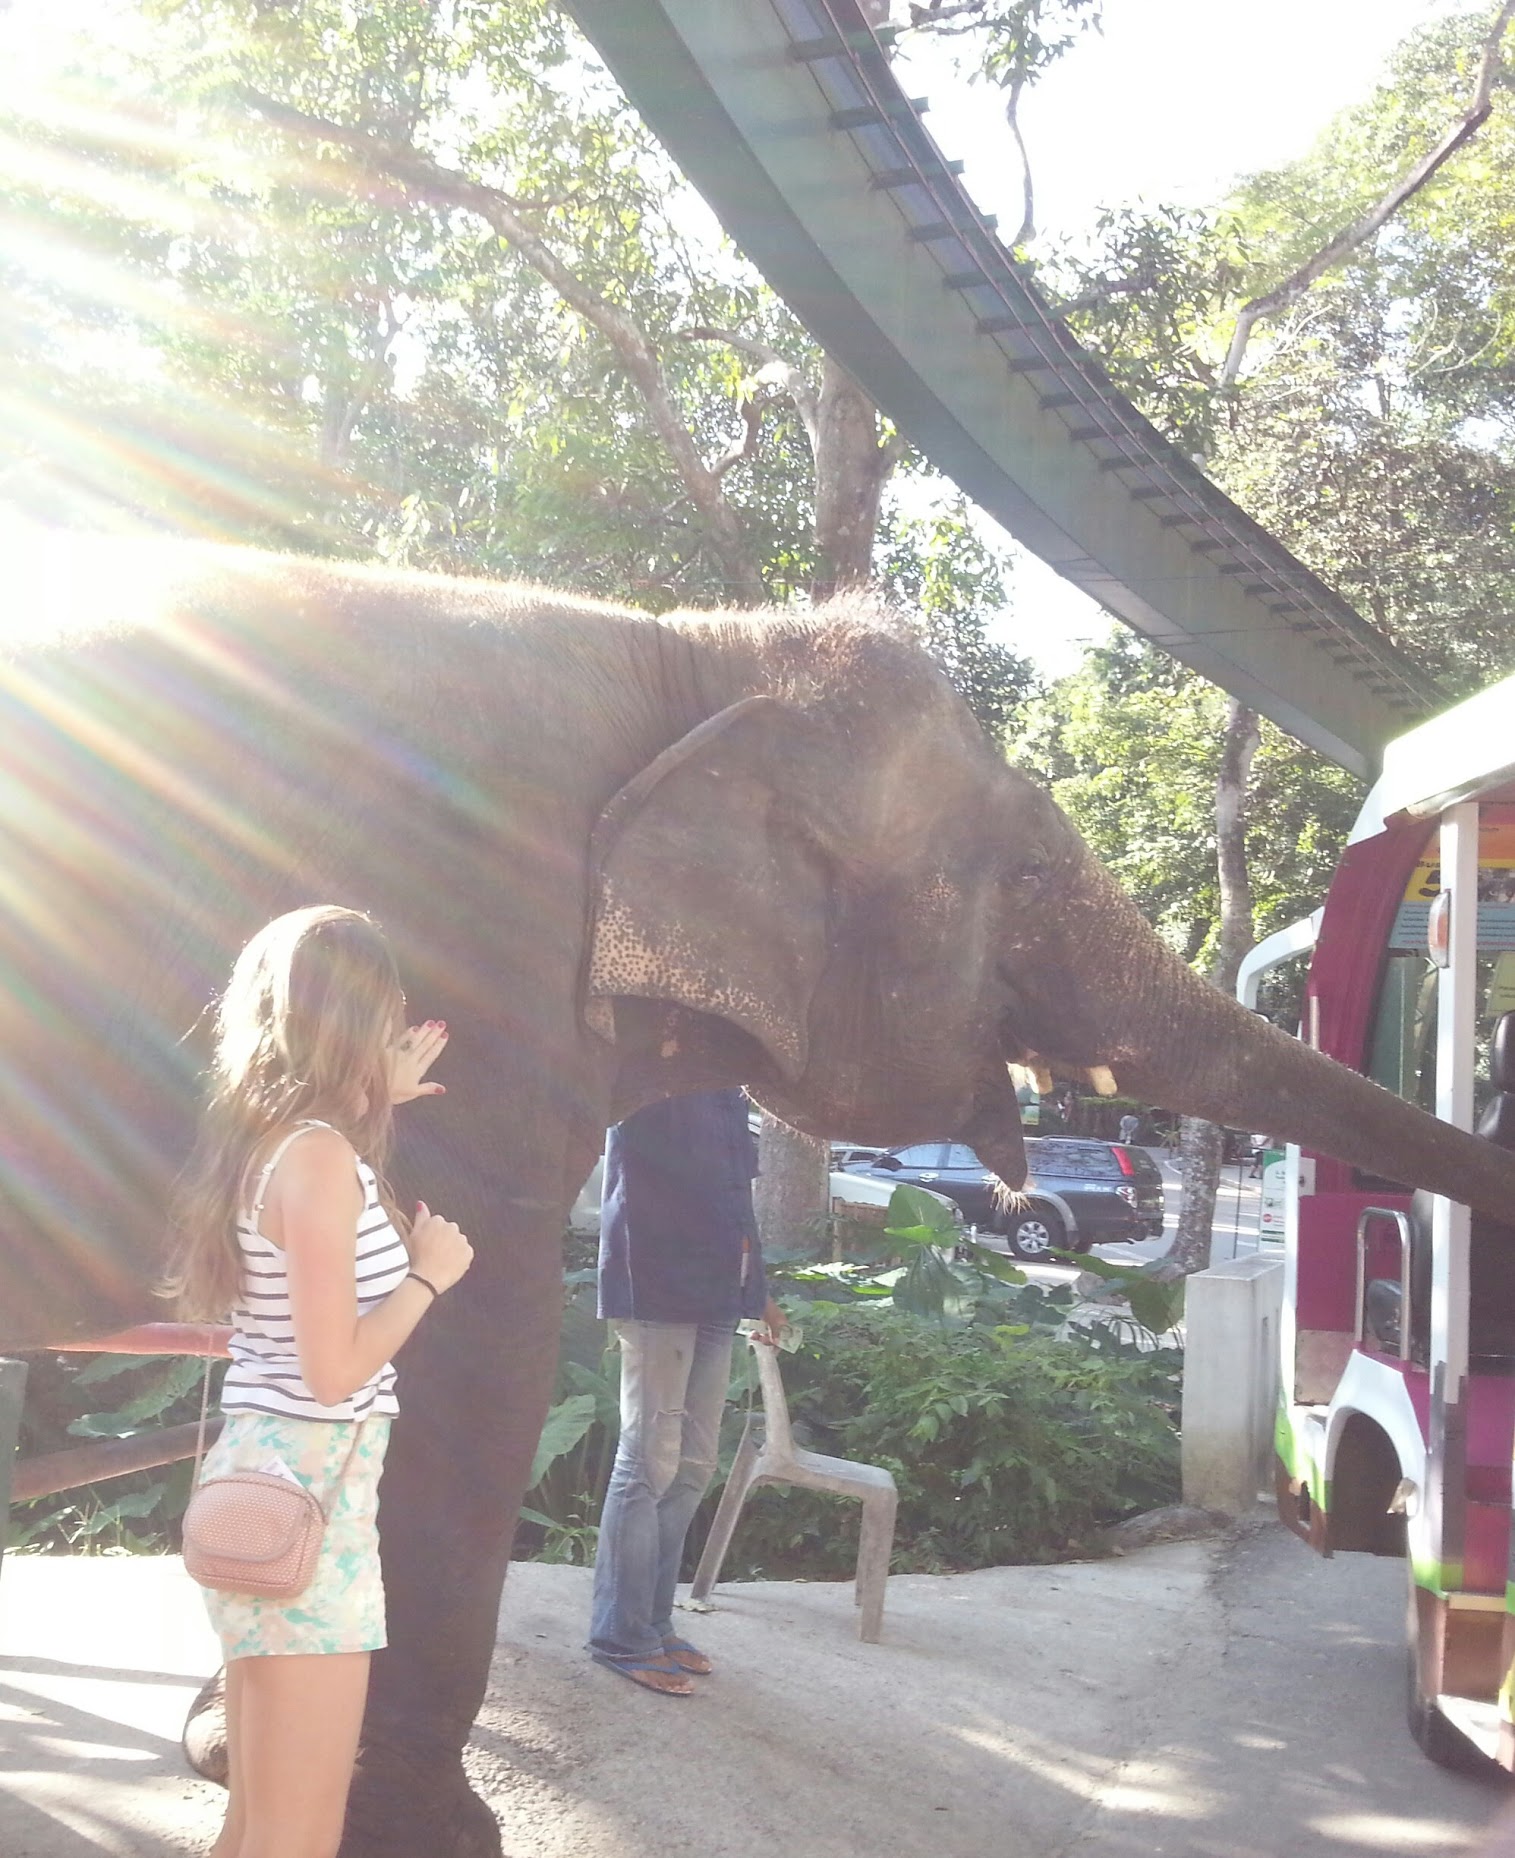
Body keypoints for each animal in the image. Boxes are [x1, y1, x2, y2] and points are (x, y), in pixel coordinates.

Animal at [8, 531, 1515, 1850]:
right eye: (1028, 872)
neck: (689, 657)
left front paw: (232, 1750)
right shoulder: (464, 973)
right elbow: (472, 1356)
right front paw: (417, 1834)